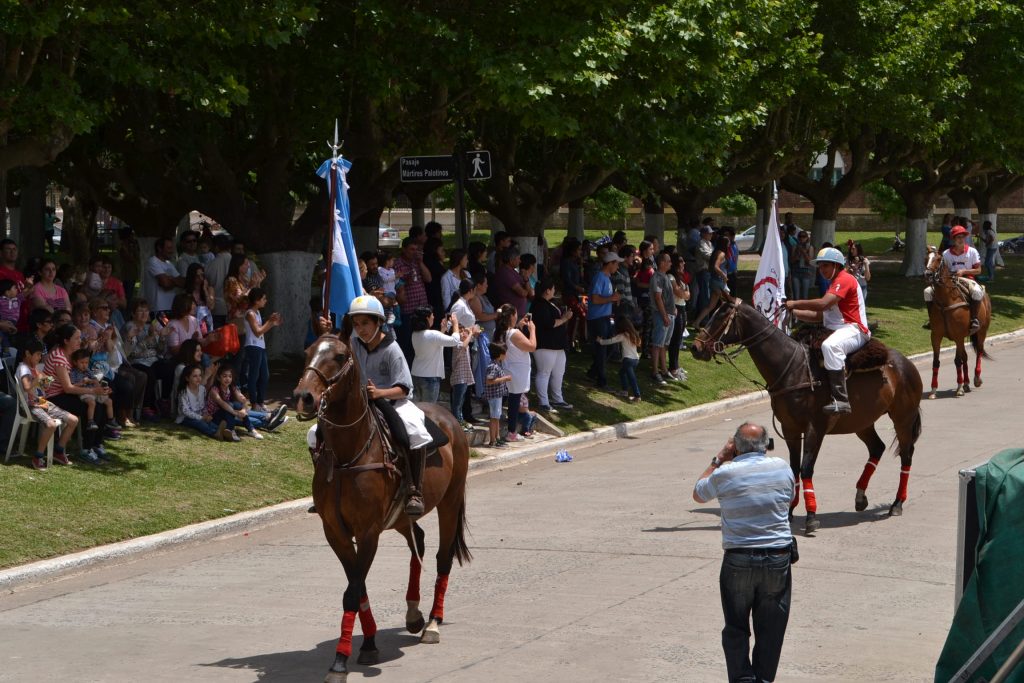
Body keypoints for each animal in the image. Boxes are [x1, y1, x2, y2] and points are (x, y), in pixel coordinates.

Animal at [292, 333, 471, 679]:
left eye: (339, 356)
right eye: (308, 352)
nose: (304, 397)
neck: (346, 456)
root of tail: (448, 417)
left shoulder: (368, 531)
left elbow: (353, 590)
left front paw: (340, 660)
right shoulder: (335, 532)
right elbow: (356, 585)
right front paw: (369, 643)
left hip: (450, 501)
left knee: (442, 558)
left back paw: (432, 623)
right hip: (401, 517)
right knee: (419, 544)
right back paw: (414, 614)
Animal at [692, 299, 925, 532]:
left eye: (721, 316)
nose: (696, 347)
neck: (793, 369)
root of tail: (906, 363)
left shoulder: (815, 429)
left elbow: (806, 469)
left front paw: (811, 515)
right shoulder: (790, 429)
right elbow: (794, 468)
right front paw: (789, 510)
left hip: (903, 419)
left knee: (906, 455)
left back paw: (897, 503)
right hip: (862, 422)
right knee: (877, 447)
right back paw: (861, 496)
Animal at [921, 246, 991, 397]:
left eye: (938, 259)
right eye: (926, 258)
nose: (928, 274)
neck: (945, 301)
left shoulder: (958, 336)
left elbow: (957, 360)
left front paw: (959, 388)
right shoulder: (936, 336)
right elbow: (936, 361)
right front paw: (933, 390)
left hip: (982, 331)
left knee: (979, 351)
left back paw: (976, 379)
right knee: (965, 356)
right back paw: (966, 383)